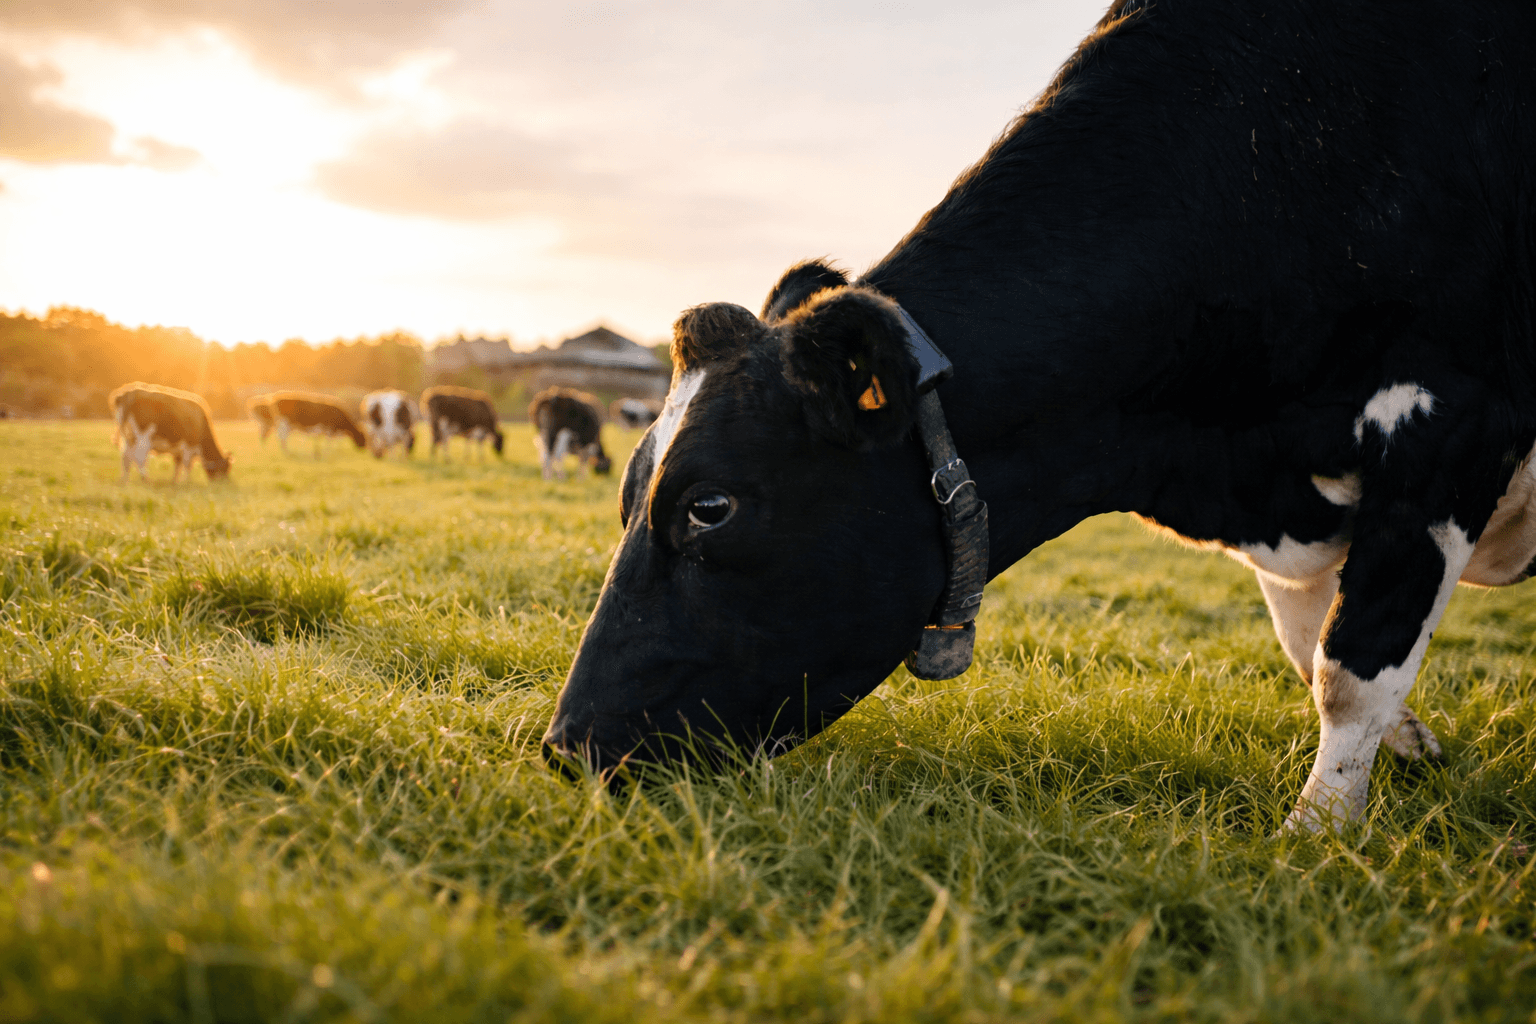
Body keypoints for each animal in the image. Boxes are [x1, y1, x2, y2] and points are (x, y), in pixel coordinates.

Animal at [543, 0, 1536, 833]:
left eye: (710, 507)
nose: (567, 746)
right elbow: (1307, 644)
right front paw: (1404, 753)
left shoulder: (1447, 425)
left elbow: (1350, 669)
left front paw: (1318, 837)